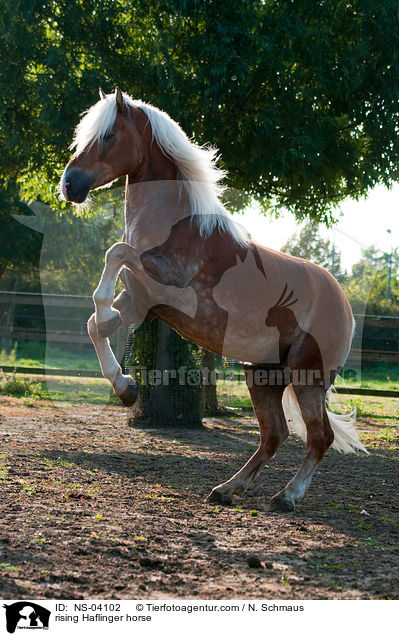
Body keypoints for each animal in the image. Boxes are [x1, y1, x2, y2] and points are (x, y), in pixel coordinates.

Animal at [60, 87, 368, 512]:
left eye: (108, 135)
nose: (68, 184)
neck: (176, 226)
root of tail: (345, 305)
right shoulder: (142, 303)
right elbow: (95, 325)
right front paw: (126, 388)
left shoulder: (171, 286)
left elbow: (115, 253)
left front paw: (105, 315)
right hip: (262, 374)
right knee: (275, 434)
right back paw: (227, 489)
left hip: (308, 375)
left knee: (319, 437)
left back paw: (286, 497)